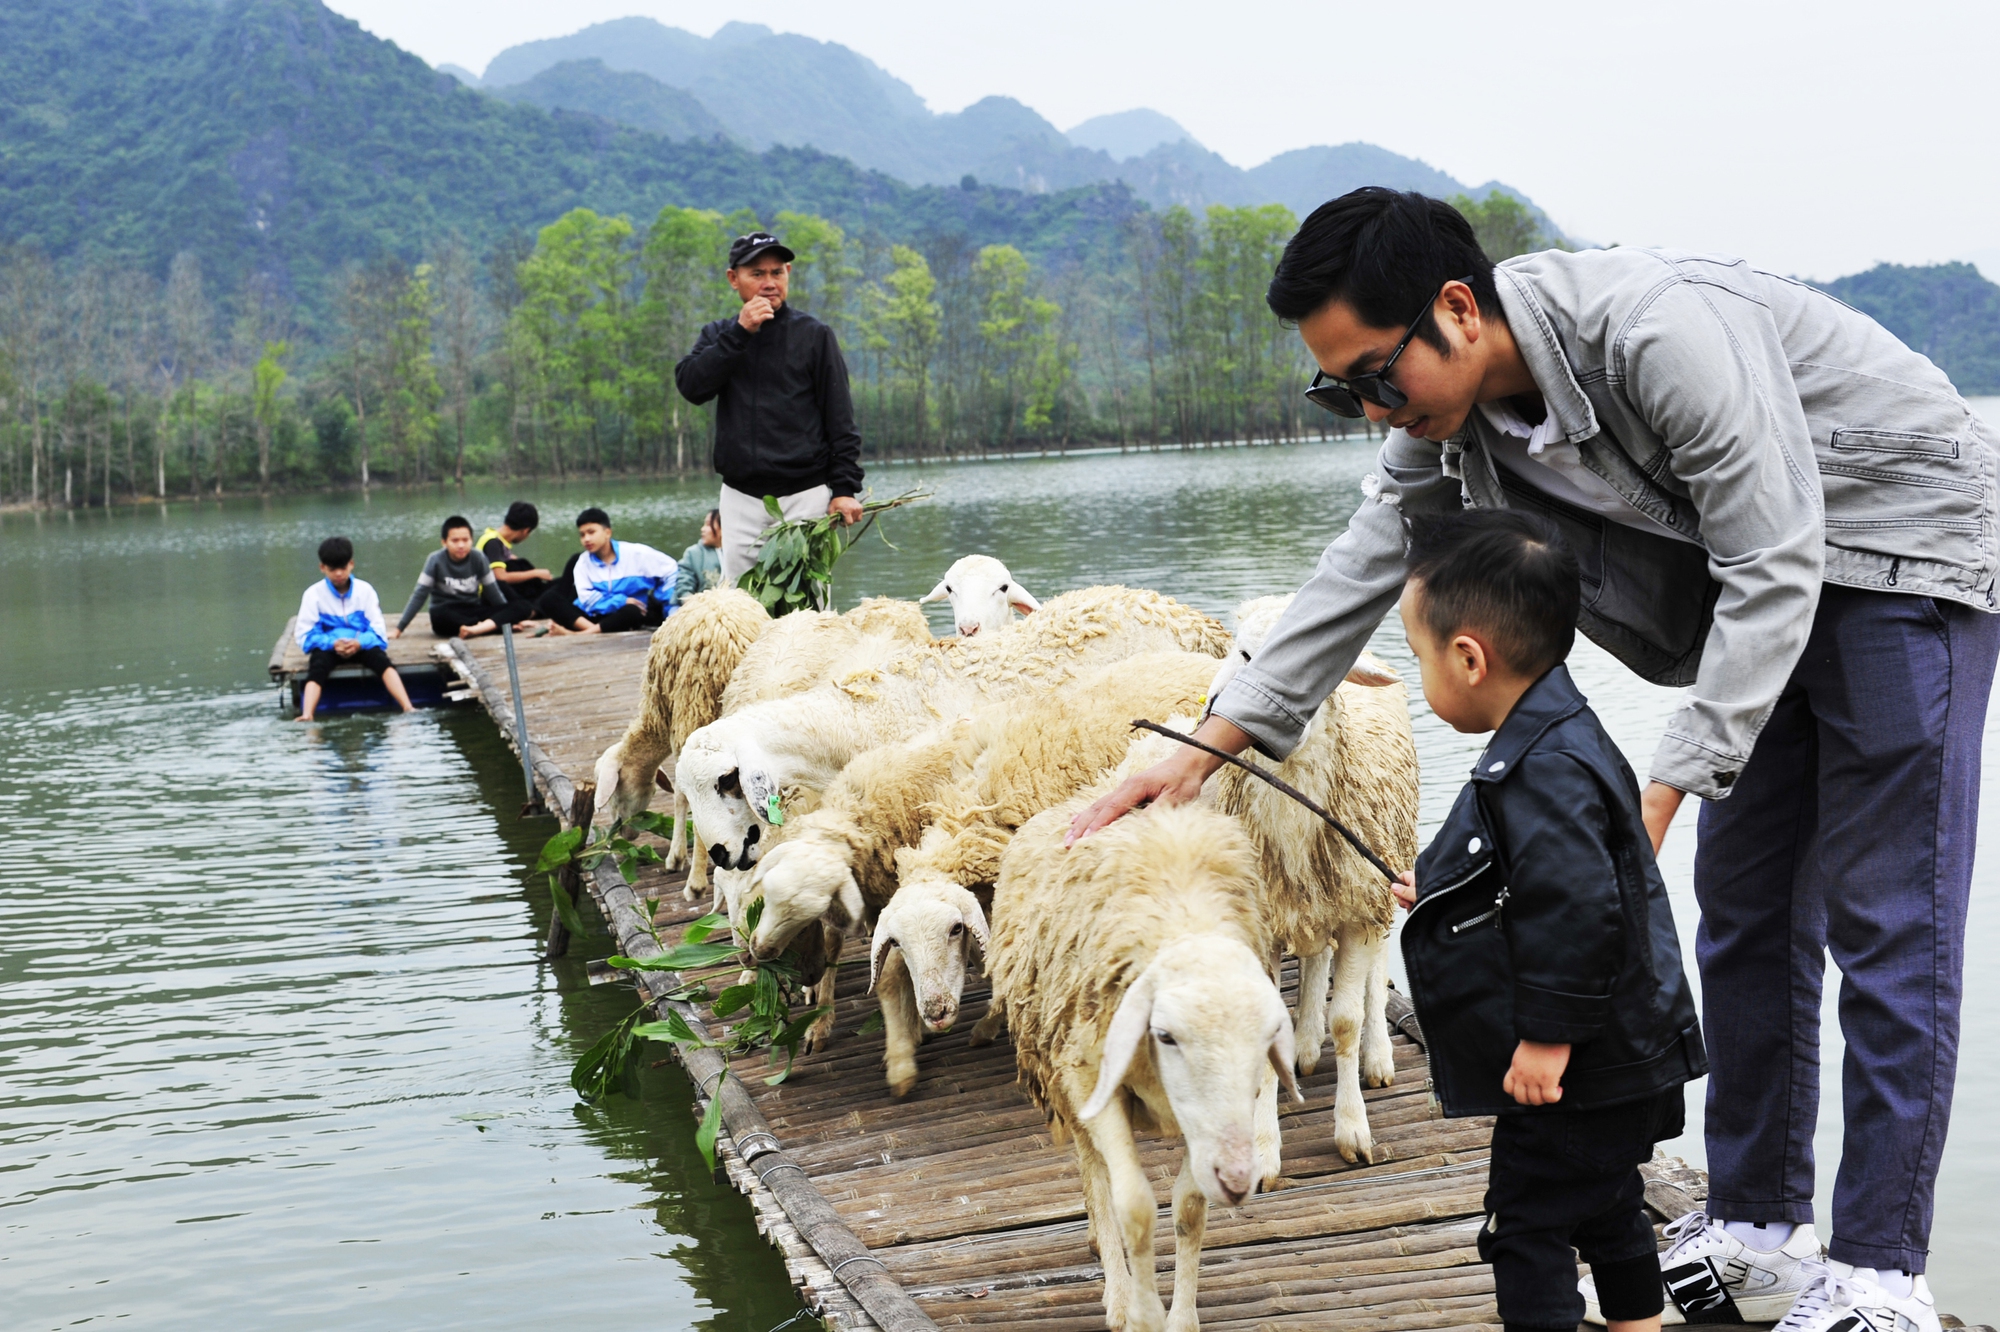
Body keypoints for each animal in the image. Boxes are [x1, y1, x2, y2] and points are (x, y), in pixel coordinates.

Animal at [984, 788, 1296, 1328]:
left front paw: (1181, 1318)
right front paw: (1141, 1314)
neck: (1185, 917)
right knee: (1097, 1176)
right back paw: (1116, 1288)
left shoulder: (1205, 1123)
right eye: (1165, 1035)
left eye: (1265, 1039)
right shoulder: (1091, 1077)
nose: (1238, 1179)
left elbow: (1189, 1209)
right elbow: (1133, 1206)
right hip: (1064, 1076)